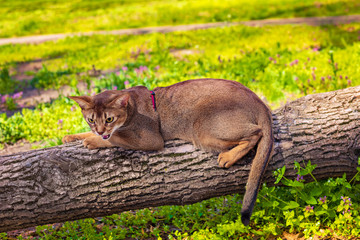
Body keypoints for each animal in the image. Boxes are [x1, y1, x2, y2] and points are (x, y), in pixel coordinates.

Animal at [63, 79, 274, 225]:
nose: (99, 130)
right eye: (91, 120)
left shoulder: (151, 139)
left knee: (257, 132)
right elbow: (97, 134)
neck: (132, 107)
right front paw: (72, 136)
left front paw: (92, 140)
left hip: (201, 126)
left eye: (109, 119)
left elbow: (116, 137)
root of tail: (258, 100)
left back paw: (228, 157)